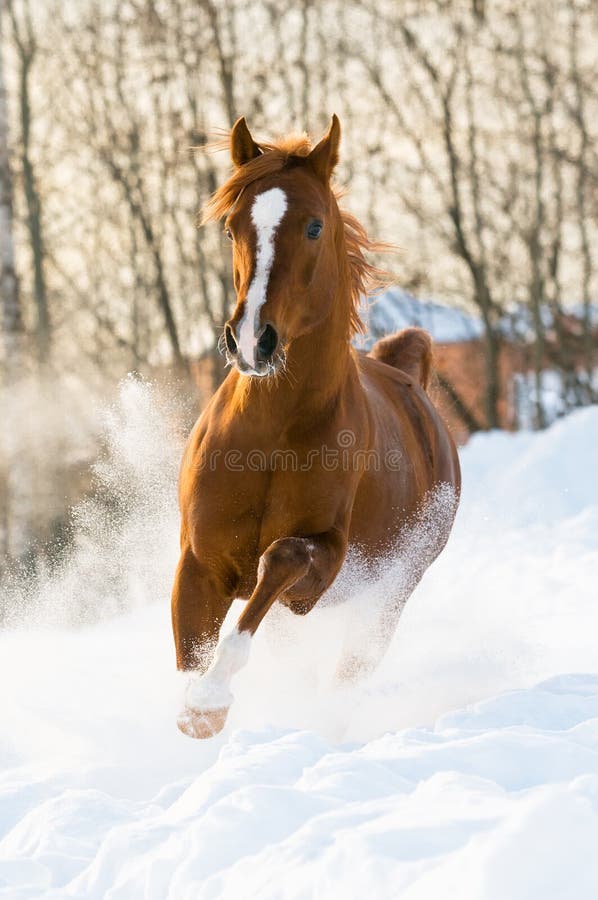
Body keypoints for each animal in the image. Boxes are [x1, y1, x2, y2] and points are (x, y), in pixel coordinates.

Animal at [171, 116, 462, 740]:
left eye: (313, 225)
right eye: (232, 226)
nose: (252, 340)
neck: (271, 435)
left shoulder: (321, 565)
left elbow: (279, 562)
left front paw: (210, 701)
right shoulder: (199, 563)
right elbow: (190, 655)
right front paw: (195, 711)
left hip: (388, 597)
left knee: (348, 673)